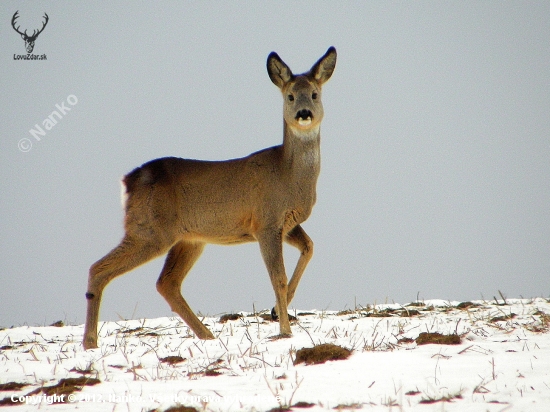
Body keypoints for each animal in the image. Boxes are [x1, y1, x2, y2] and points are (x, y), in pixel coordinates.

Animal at [84, 46, 338, 350]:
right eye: (289, 96)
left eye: (314, 94)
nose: (303, 113)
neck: (289, 176)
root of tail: (129, 181)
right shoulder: (265, 221)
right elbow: (278, 277)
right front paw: (285, 330)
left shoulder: (285, 223)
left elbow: (309, 247)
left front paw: (278, 310)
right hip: (150, 230)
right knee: (98, 269)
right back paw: (90, 342)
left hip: (188, 239)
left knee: (166, 283)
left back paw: (207, 335)